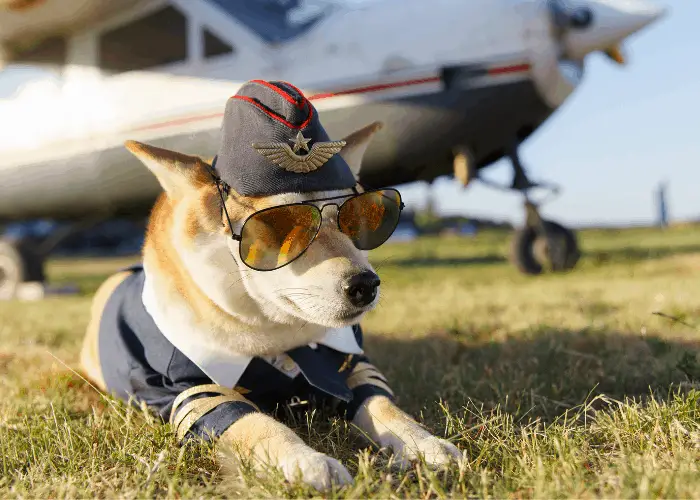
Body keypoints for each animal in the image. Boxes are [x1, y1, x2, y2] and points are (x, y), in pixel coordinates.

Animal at [79, 80, 462, 490]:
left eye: (360, 217)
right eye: (281, 224)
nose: (365, 284)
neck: (281, 341)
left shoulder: (353, 367)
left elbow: (385, 406)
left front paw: (425, 443)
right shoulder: (191, 393)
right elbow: (258, 425)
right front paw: (306, 461)